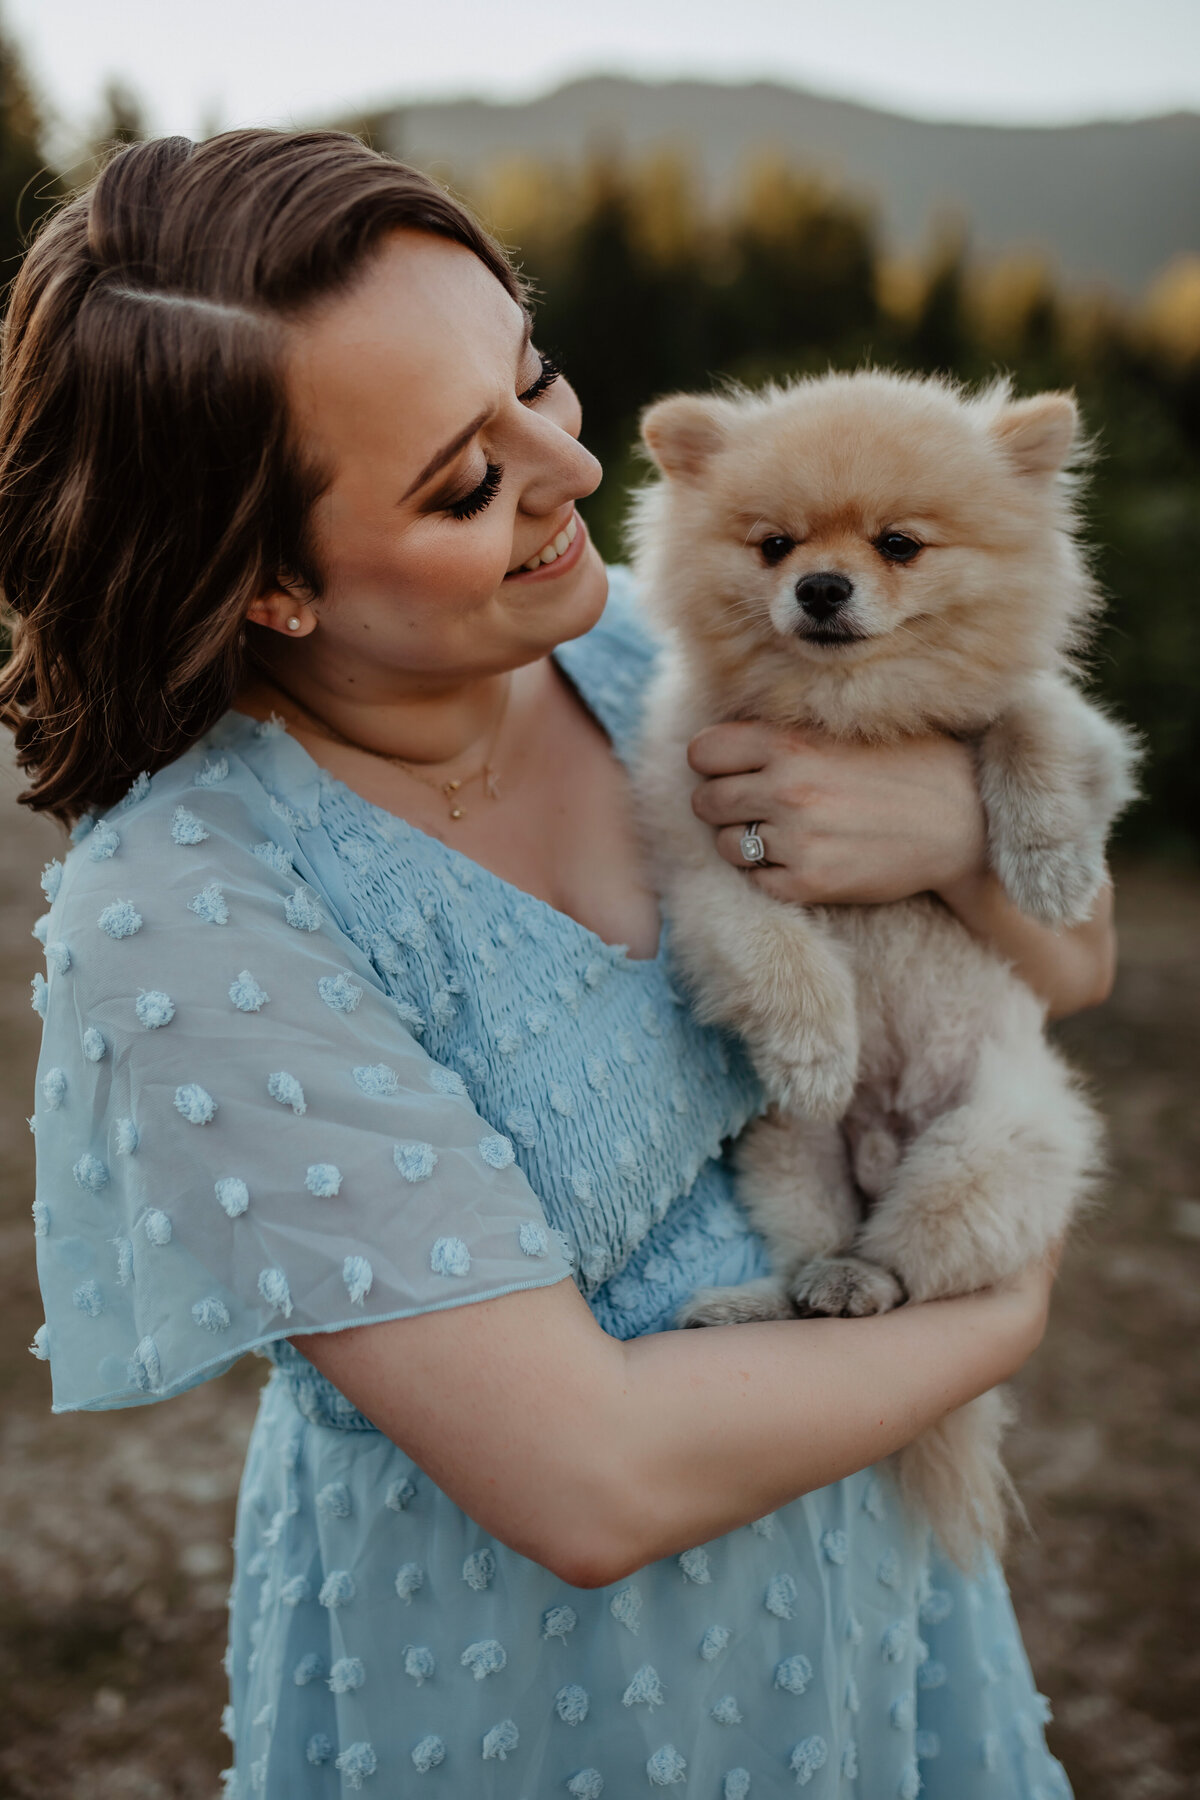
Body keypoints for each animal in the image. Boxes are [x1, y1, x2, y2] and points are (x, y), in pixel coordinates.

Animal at [633, 372, 1144, 1569]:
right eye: (773, 547)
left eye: (900, 545)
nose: (821, 586)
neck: (850, 718)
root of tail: (881, 1148)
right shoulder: (703, 861)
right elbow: (774, 946)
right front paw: (819, 1045)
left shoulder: (1085, 736)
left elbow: (1031, 724)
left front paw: (1049, 864)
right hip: (789, 1161)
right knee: (820, 1263)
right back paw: (765, 1301)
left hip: (986, 1155)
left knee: (911, 1275)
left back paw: (856, 1280)